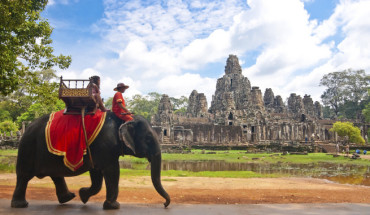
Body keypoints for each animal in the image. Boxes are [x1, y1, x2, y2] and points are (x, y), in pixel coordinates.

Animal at [10, 113, 171, 209]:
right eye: (148, 138)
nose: (165, 204)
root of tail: (27, 127)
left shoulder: (98, 151)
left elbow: (97, 175)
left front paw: (83, 196)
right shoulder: (105, 146)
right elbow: (112, 171)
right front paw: (114, 206)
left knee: (55, 175)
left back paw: (68, 198)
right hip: (27, 148)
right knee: (24, 176)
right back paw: (20, 205)